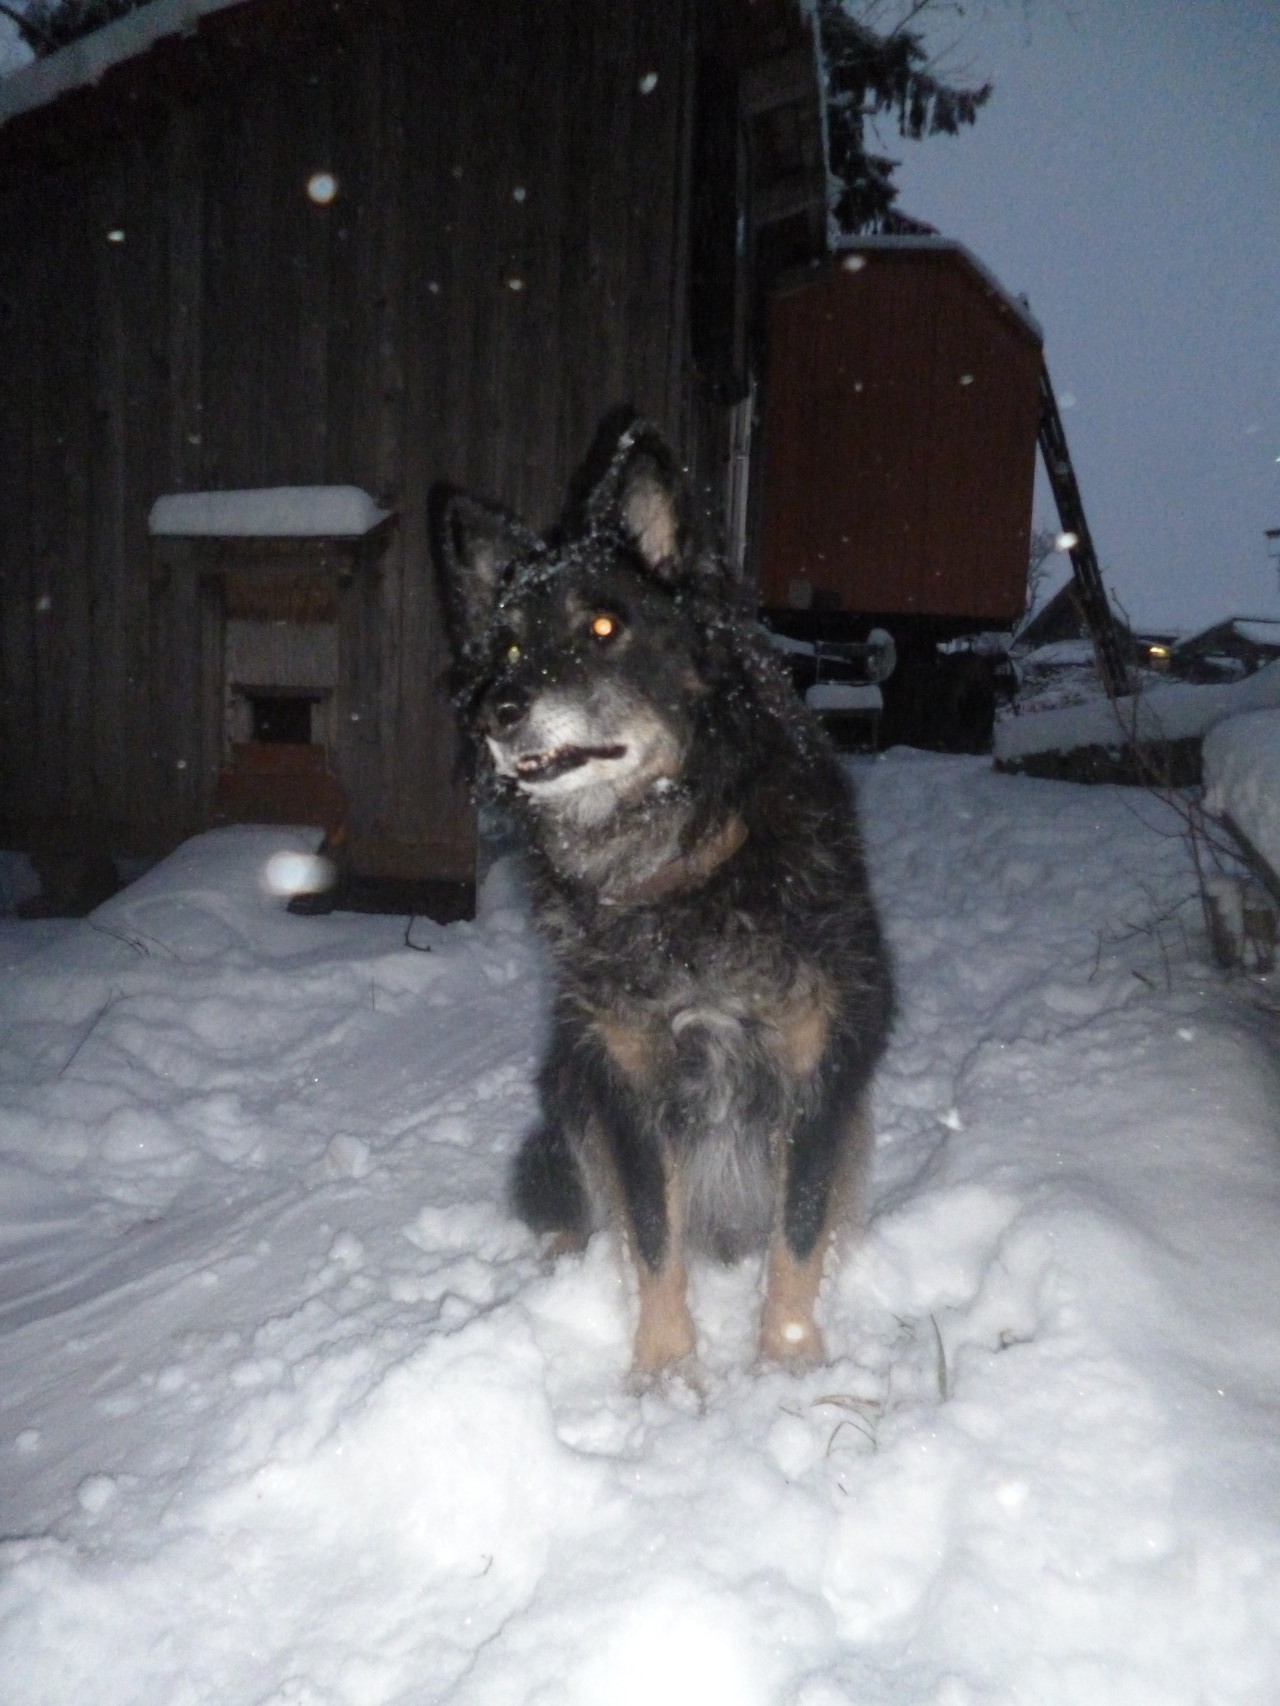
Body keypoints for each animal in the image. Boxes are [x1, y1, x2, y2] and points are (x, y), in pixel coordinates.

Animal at [430, 414, 893, 1375]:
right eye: (509, 646)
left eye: (605, 624)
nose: (496, 711)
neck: (673, 871)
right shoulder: (627, 1085)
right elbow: (651, 1237)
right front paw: (667, 1374)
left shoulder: (819, 1072)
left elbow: (798, 1234)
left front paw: (788, 1366)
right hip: (565, 1097)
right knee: (570, 1212)